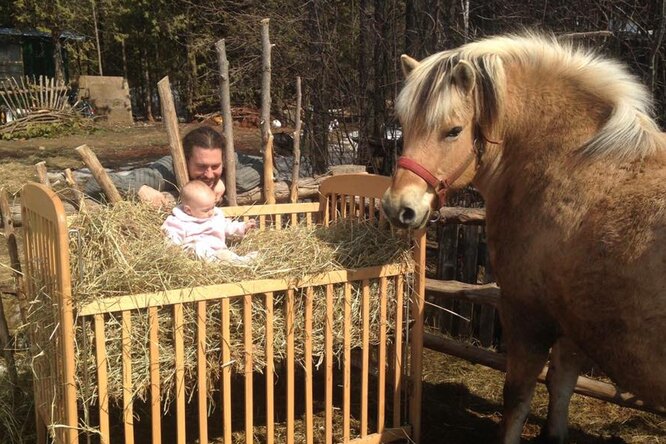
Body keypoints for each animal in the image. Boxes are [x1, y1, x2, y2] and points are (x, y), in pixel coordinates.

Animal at [378, 34, 664, 444]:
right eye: (404, 125)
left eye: (453, 130)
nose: (398, 207)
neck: (572, 161)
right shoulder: (571, 321)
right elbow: (561, 387)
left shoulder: (527, 315)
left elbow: (517, 397)